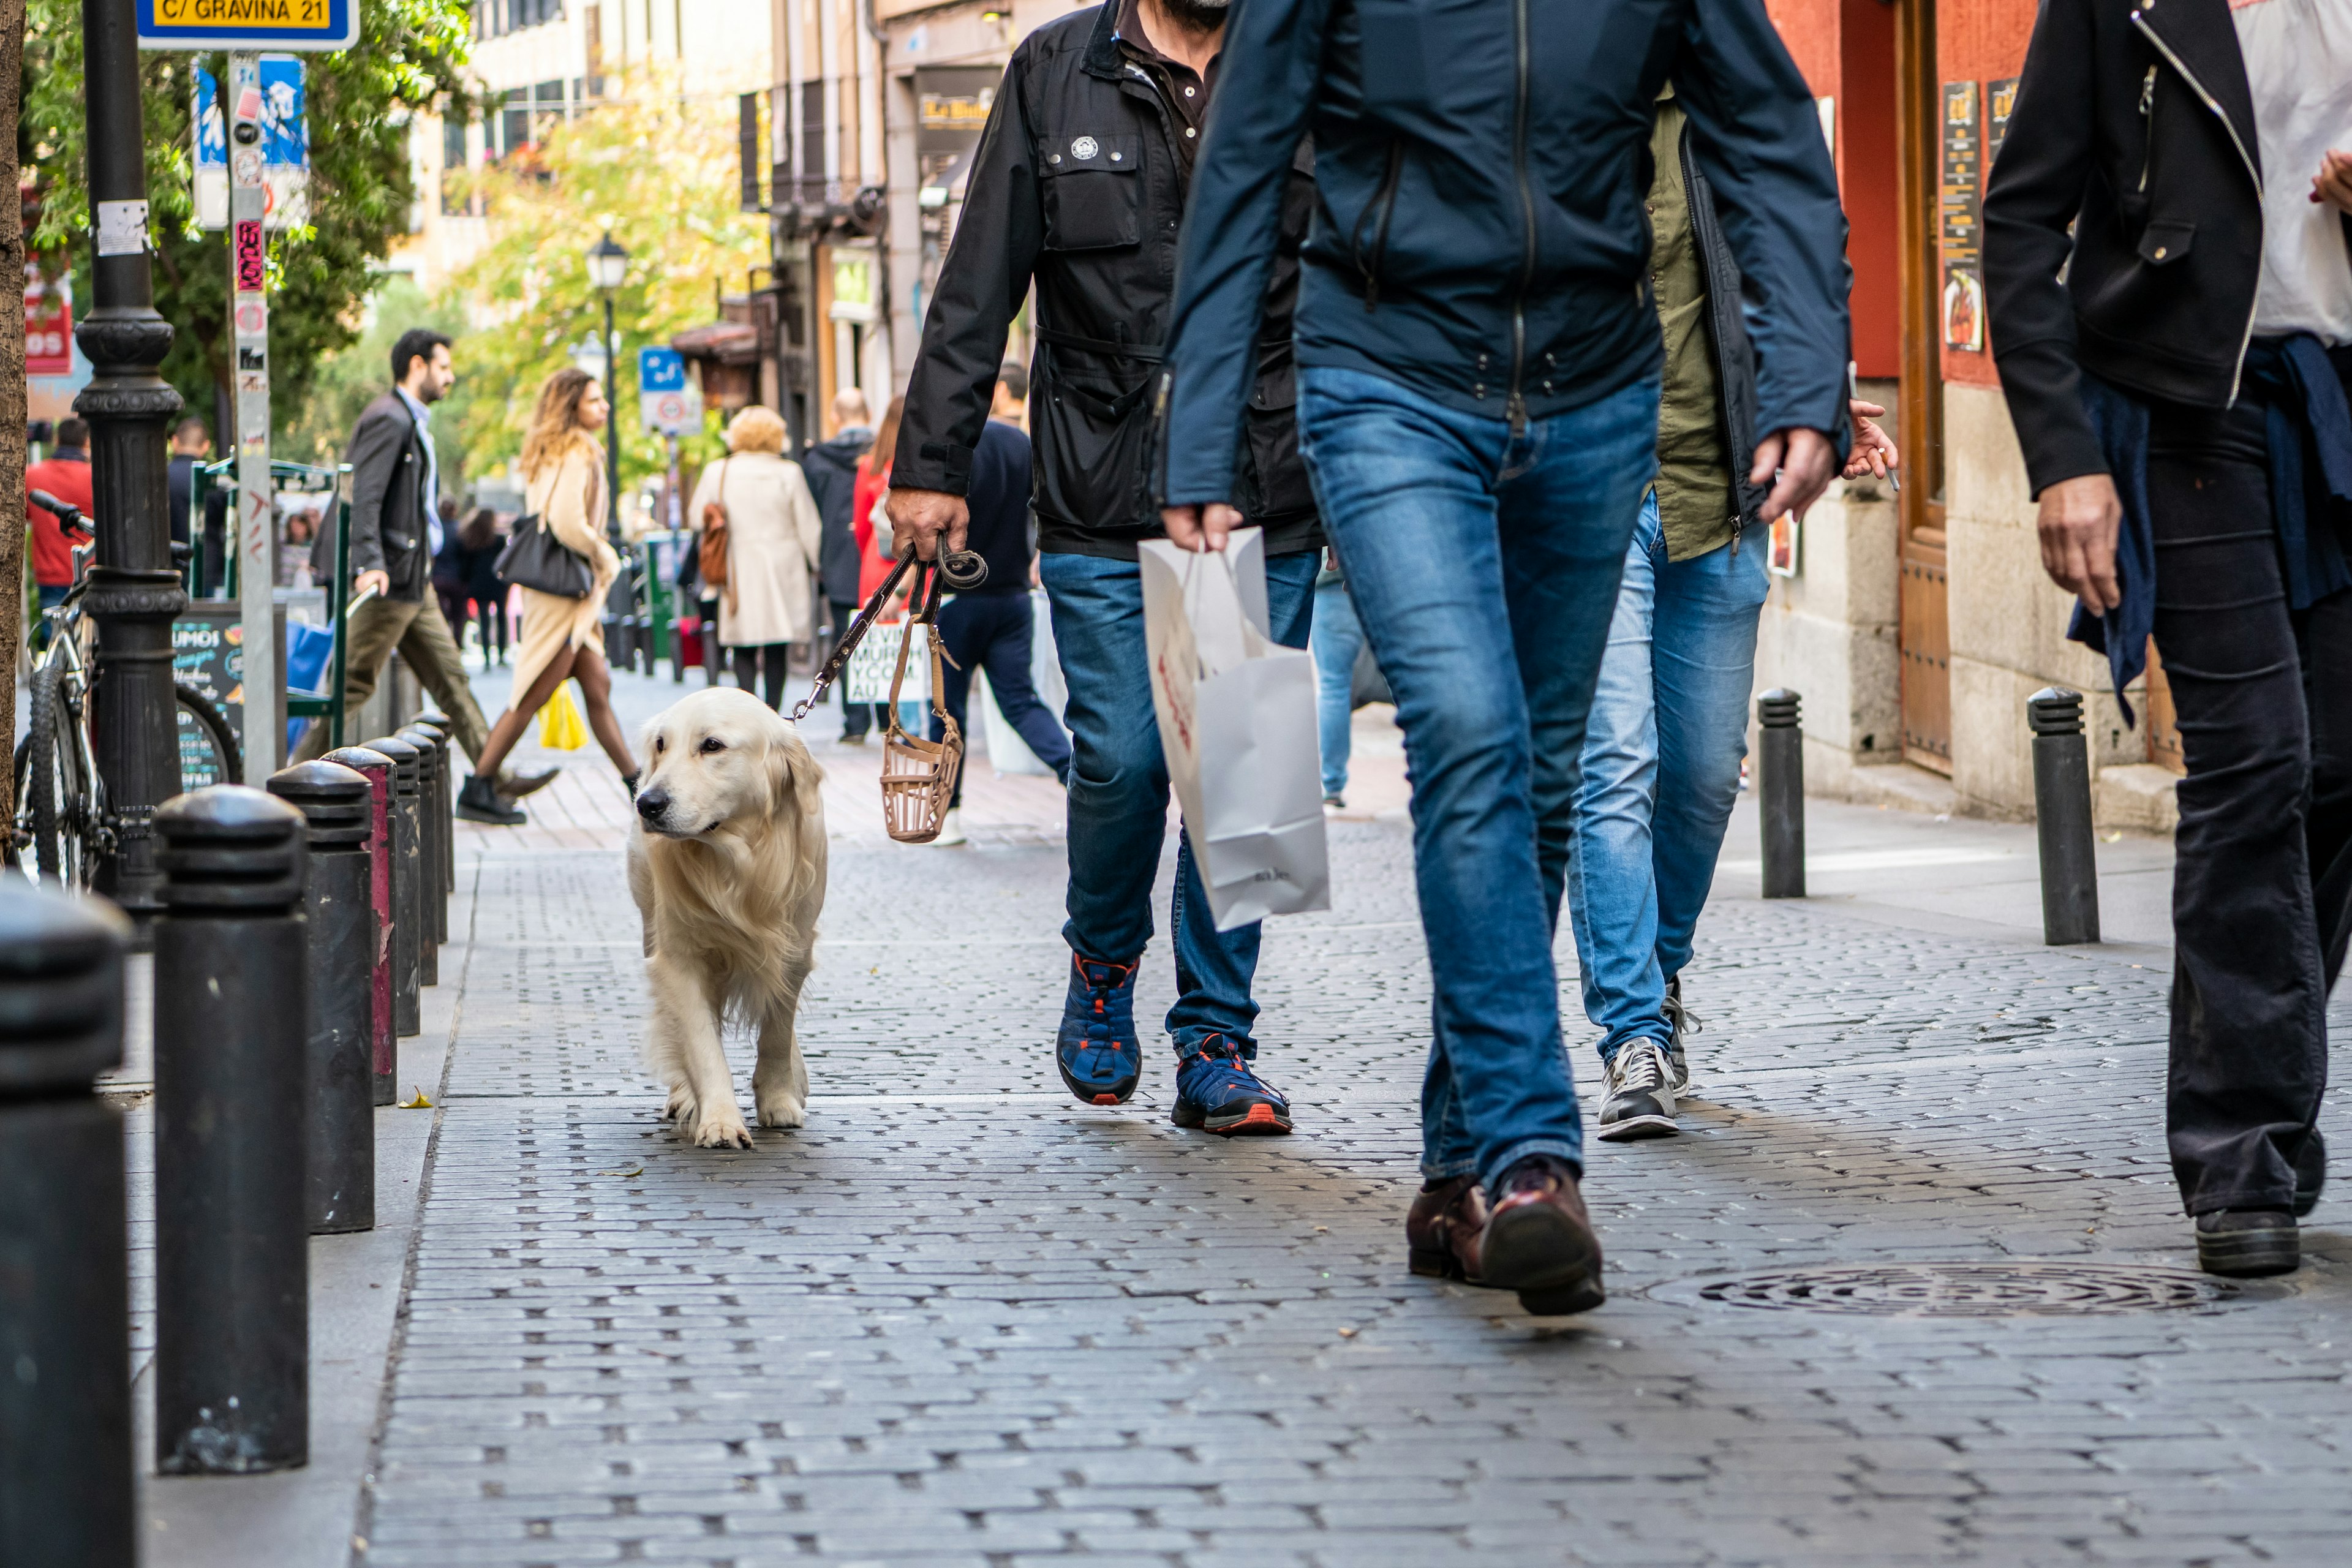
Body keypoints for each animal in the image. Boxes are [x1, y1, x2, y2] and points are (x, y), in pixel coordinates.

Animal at [625, 691, 827, 1147]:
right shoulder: (680, 959)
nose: (647, 803)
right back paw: (684, 1096)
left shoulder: (794, 951)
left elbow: (777, 1033)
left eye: (712, 746)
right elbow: (701, 1042)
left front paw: (778, 1098)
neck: (735, 865)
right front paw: (719, 1119)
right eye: (662, 744)